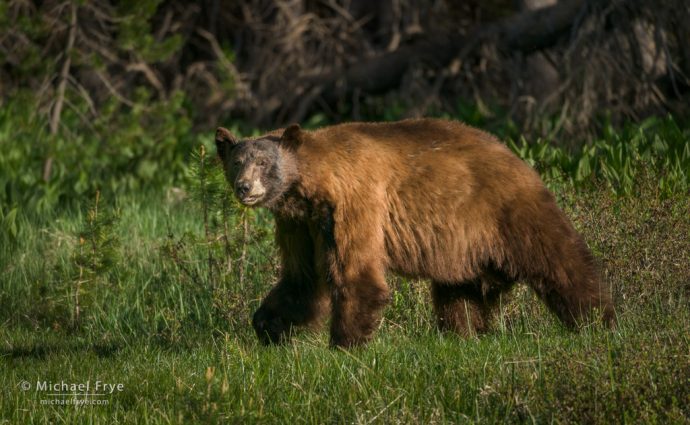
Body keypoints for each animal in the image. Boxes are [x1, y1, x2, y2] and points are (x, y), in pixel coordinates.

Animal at [215, 117, 612, 346]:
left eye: (263, 162)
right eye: (237, 161)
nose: (245, 188)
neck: (313, 185)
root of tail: (519, 158)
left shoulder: (355, 202)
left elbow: (355, 273)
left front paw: (345, 344)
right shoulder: (300, 222)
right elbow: (303, 278)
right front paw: (266, 324)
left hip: (508, 213)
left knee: (560, 262)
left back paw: (597, 320)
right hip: (462, 244)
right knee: (460, 295)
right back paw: (463, 335)